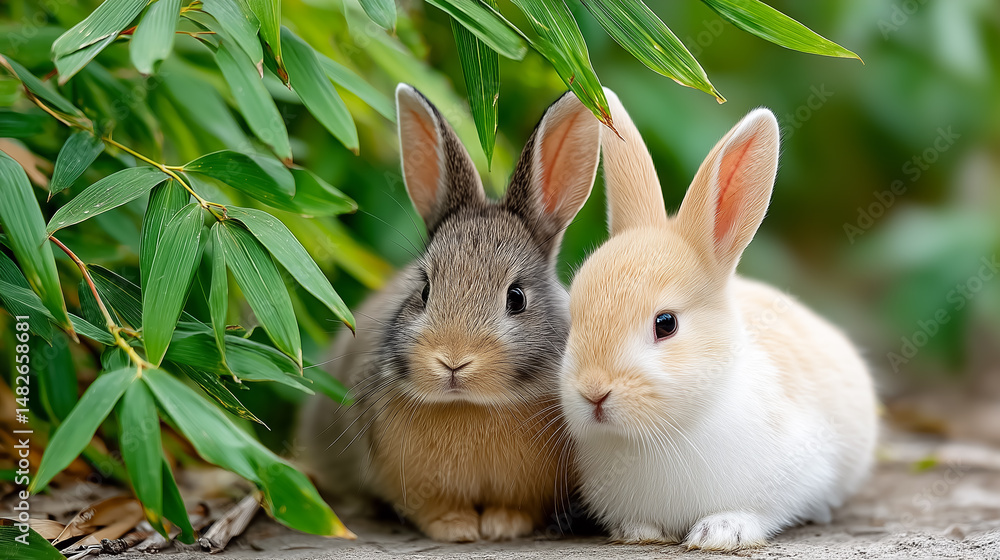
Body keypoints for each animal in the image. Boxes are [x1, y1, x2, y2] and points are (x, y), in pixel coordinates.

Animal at [297, 84, 601, 542]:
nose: (453, 361)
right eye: (424, 290)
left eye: (516, 298)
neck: (471, 404)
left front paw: (503, 526)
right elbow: (430, 509)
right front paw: (456, 529)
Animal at [558, 89, 878, 551]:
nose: (593, 392)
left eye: (666, 324)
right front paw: (637, 533)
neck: (665, 431)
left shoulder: (801, 471)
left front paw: (720, 533)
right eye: (572, 319)